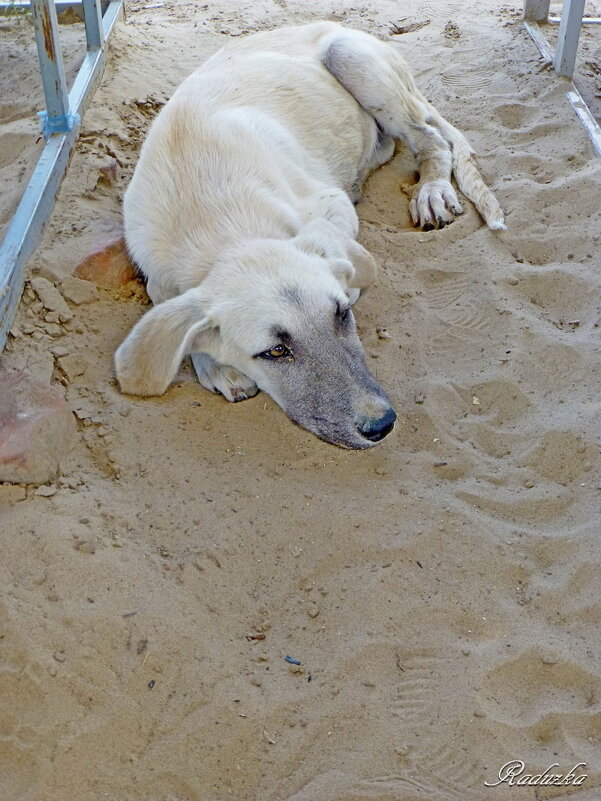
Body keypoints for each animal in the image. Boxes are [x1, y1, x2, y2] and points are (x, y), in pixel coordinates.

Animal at [115, 21, 504, 450]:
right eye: (275, 351)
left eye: (342, 314)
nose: (381, 425)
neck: (217, 219)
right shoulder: (156, 275)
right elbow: (175, 313)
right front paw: (214, 364)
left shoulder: (329, 203)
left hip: (351, 56)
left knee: (430, 139)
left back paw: (432, 189)